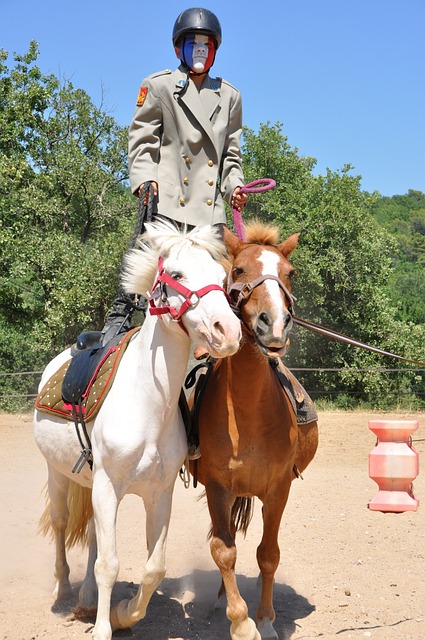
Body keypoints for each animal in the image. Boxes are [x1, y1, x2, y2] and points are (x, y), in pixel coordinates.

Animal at [33, 221, 240, 640]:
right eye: (177, 274)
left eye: (221, 276)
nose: (227, 330)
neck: (148, 403)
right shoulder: (108, 487)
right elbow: (110, 564)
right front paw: (103, 628)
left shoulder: (157, 494)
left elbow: (153, 567)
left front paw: (123, 613)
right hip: (58, 474)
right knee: (62, 524)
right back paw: (63, 589)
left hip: (90, 485)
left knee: (92, 534)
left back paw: (87, 598)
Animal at [191, 221, 318, 640]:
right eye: (240, 270)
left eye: (291, 273)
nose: (273, 322)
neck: (248, 413)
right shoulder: (217, 486)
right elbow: (224, 550)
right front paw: (241, 621)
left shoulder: (279, 489)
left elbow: (268, 554)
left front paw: (265, 619)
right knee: (224, 539)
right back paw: (219, 599)